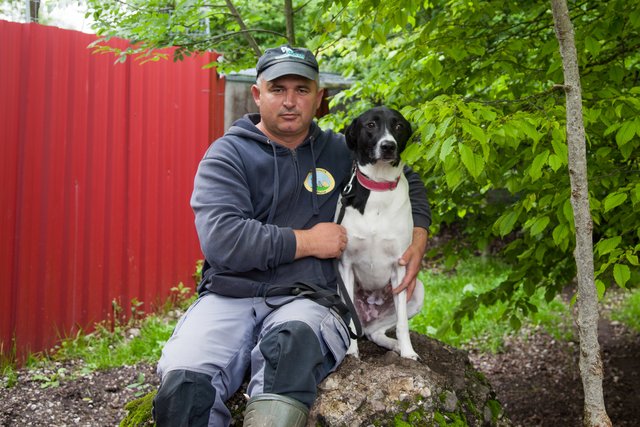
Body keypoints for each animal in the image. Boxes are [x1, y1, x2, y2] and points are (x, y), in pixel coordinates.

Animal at [338, 107, 422, 362]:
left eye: (398, 126)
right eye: (371, 125)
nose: (388, 146)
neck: (378, 187)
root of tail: (368, 317)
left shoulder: (400, 268)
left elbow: (403, 323)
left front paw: (408, 351)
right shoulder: (346, 265)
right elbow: (350, 324)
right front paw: (351, 352)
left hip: (417, 291)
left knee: (375, 332)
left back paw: (394, 345)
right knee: (359, 327)